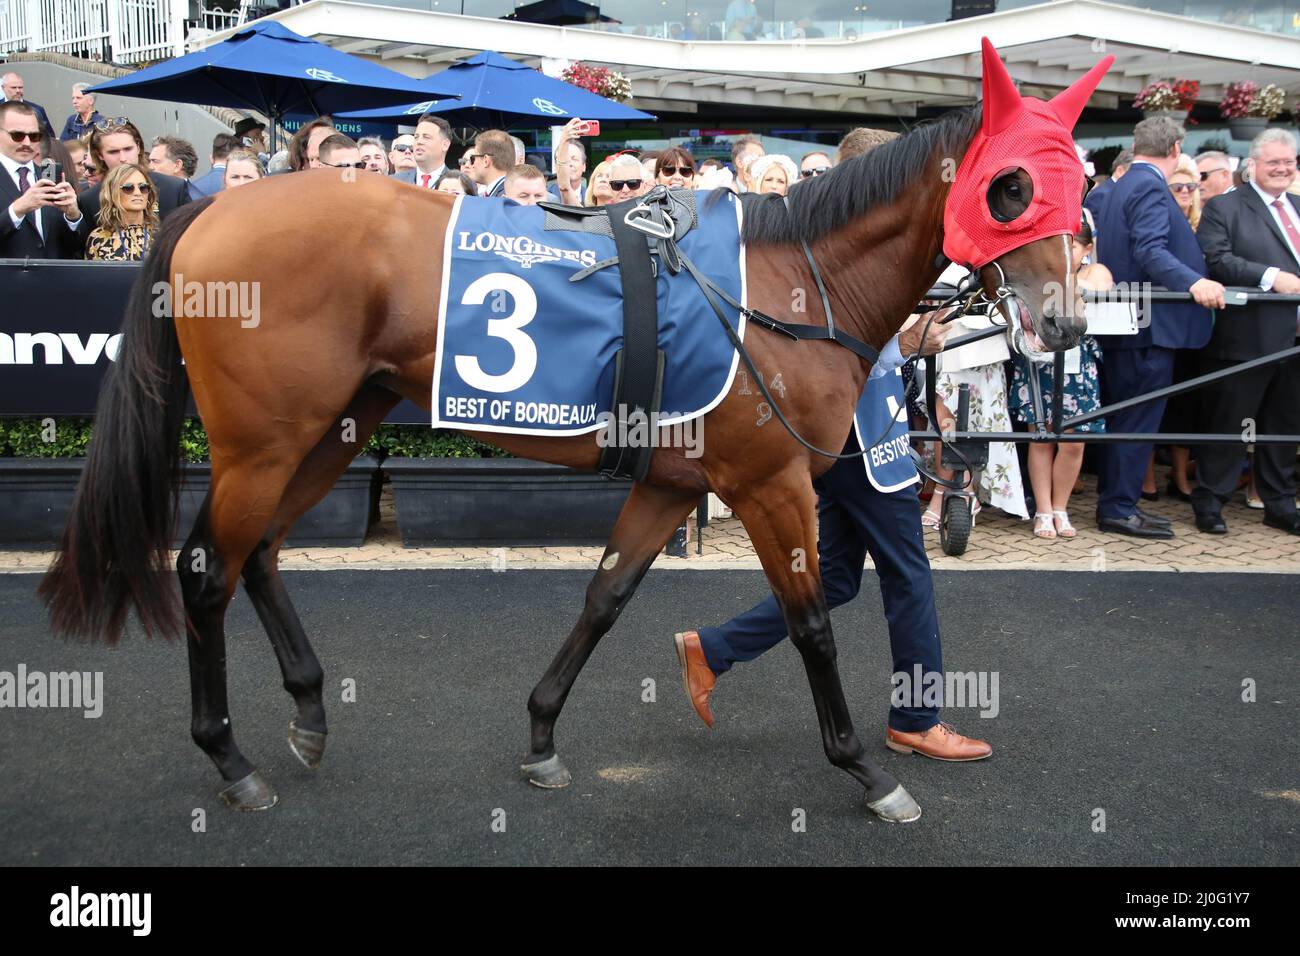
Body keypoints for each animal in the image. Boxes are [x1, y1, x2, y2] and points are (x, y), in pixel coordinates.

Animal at [40, 46, 1112, 822]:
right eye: (1011, 189)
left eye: (1079, 192)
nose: (1064, 322)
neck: (789, 288)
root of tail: (210, 214)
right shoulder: (769, 483)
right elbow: (811, 621)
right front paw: (868, 772)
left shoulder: (674, 483)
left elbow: (605, 599)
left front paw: (543, 737)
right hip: (263, 443)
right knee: (204, 570)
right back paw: (232, 758)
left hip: (336, 427)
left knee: (258, 551)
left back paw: (307, 712)